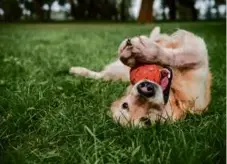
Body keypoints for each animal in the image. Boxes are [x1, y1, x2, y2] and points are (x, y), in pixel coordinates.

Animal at [69, 26, 211, 127]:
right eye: (125, 105)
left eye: (147, 120)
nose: (145, 89)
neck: (174, 92)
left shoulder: (198, 56)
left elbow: (176, 55)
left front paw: (145, 52)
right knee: (101, 75)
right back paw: (78, 71)